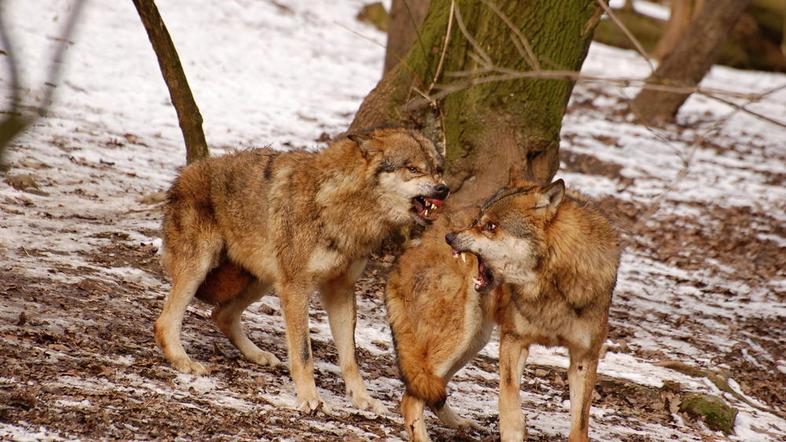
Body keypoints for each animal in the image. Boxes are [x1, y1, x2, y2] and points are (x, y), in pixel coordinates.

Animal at [154, 128, 448, 414]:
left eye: (437, 169)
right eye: (413, 169)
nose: (444, 189)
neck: (341, 205)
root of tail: (186, 171)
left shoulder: (340, 290)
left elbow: (350, 358)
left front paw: (363, 399)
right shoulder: (297, 288)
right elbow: (304, 354)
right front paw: (310, 399)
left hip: (265, 279)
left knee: (221, 314)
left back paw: (258, 355)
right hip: (201, 268)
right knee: (166, 321)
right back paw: (183, 361)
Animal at [386, 180, 620, 442]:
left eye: (490, 226)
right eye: (478, 221)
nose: (450, 237)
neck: (551, 287)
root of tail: (408, 250)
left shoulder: (584, 358)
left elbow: (579, 424)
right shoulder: (513, 340)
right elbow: (509, 403)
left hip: (474, 342)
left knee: (431, 390)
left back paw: (461, 423)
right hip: (461, 337)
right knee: (411, 398)